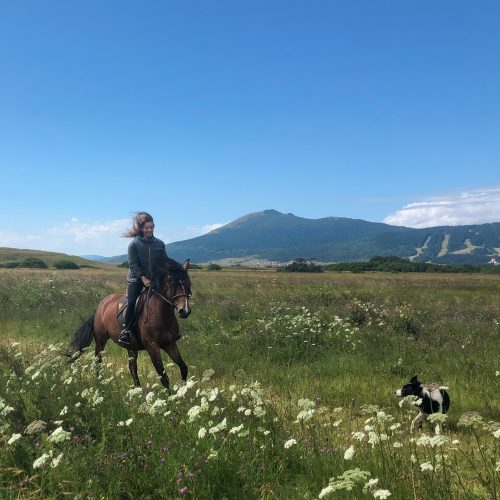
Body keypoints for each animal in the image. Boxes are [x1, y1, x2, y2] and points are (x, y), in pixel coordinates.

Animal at [67, 260, 190, 388]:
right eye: (172, 285)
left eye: (188, 284)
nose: (185, 311)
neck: (161, 314)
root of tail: (100, 307)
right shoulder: (152, 347)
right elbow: (164, 378)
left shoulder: (170, 344)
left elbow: (183, 367)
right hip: (101, 340)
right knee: (98, 360)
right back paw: (100, 382)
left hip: (131, 346)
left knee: (132, 368)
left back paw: (138, 389)